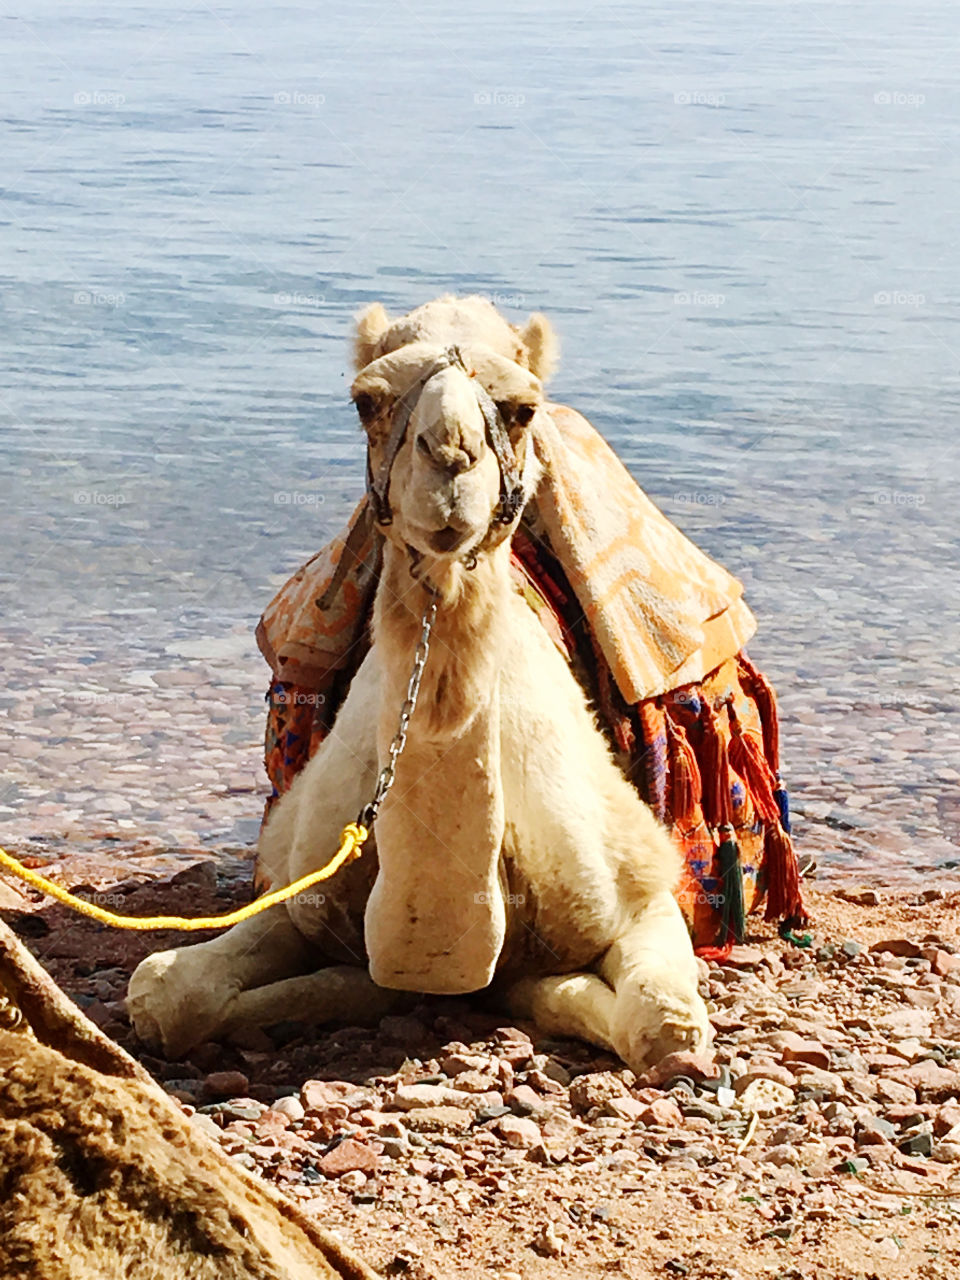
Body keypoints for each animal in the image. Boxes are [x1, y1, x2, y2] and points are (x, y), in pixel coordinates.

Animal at [127, 296, 712, 1073]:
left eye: (522, 409)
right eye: (365, 401)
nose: (451, 458)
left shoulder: (640, 883)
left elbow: (665, 1026)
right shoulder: (297, 885)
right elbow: (165, 994)